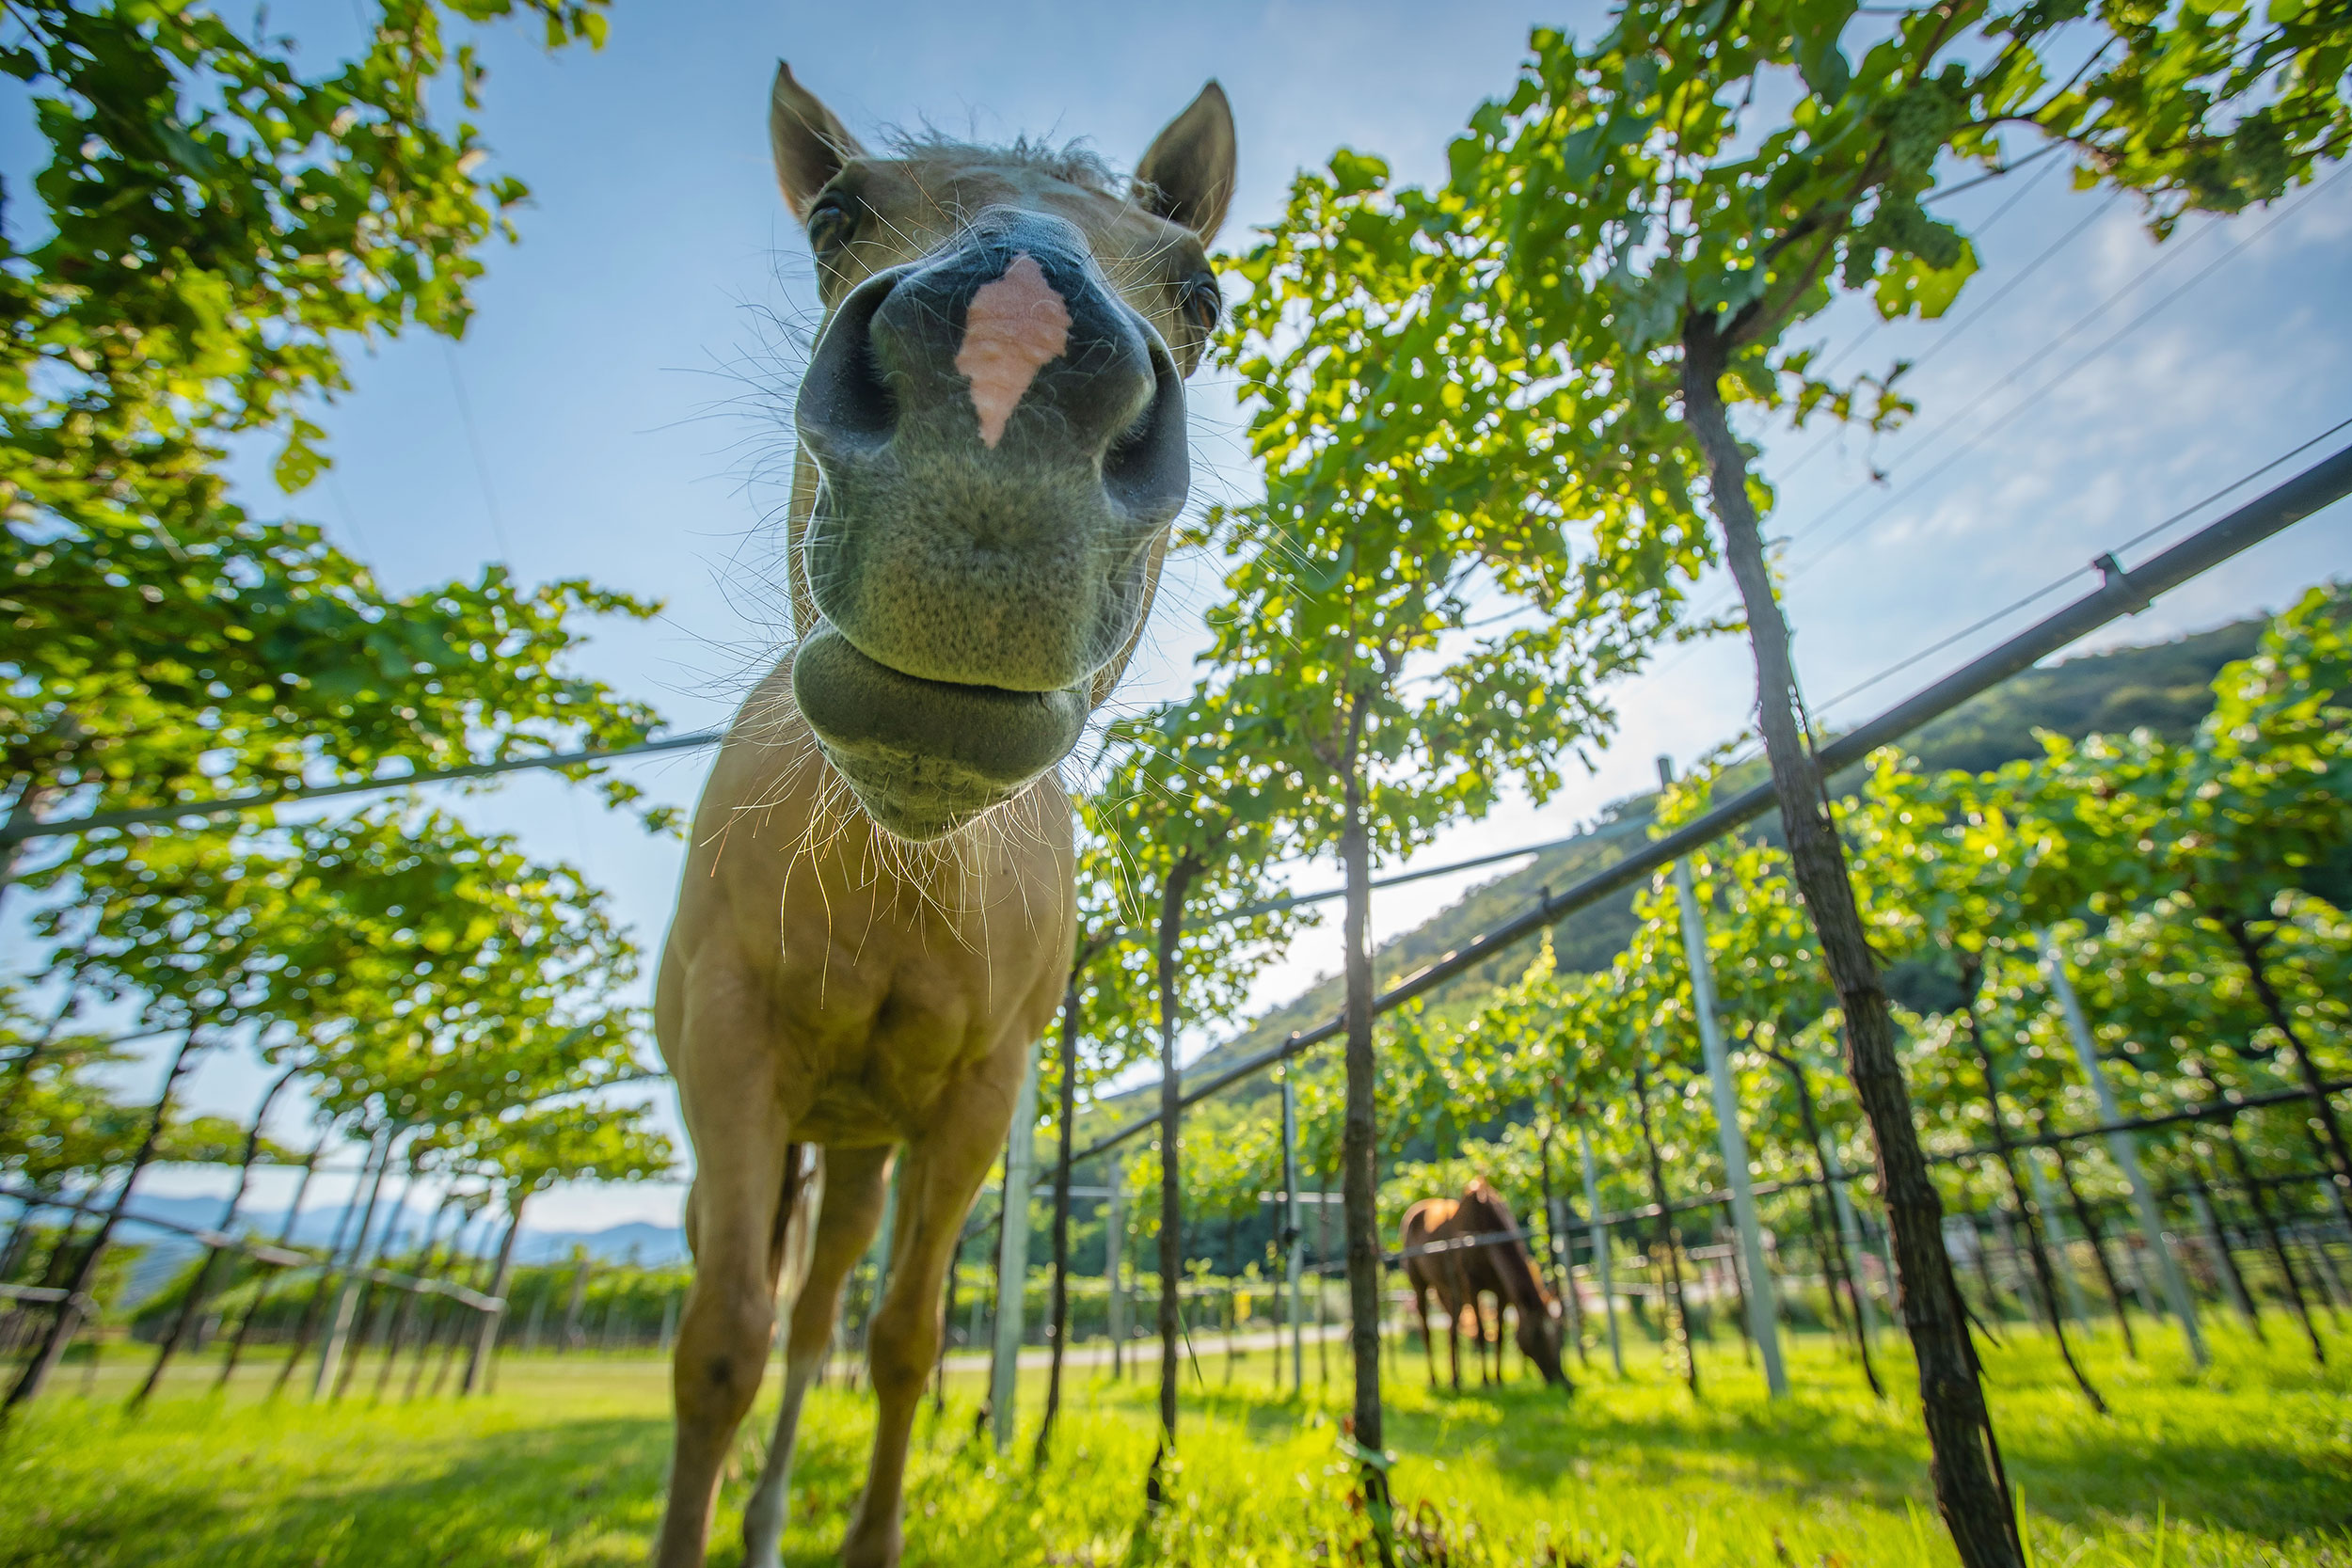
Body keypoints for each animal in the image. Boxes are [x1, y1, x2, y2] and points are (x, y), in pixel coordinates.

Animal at [644, 61, 1232, 1568]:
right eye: (835, 216)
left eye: (1202, 293)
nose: (1007, 369)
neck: (894, 875)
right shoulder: (728, 1048)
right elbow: (717, 1346)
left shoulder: (978, 1096)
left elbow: (903, 1341)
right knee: (765, 1301)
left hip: (861, 1143)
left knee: (819, 1315)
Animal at [1402, 1184, 1571, 1391]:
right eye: (1537, 1334)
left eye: (1560, 1333)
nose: (1559, 1378)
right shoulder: (1473, 1285)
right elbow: (1482, 1332)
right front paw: (1485, 1381)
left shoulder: (1502, 1290)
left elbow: (1499, 1335)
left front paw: (1498, 1380)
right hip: (1419, 1282)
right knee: (1426, 1330)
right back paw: (1435, 1380)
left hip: (1449, 1289)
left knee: (1452, 1328)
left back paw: (1456, 1379)